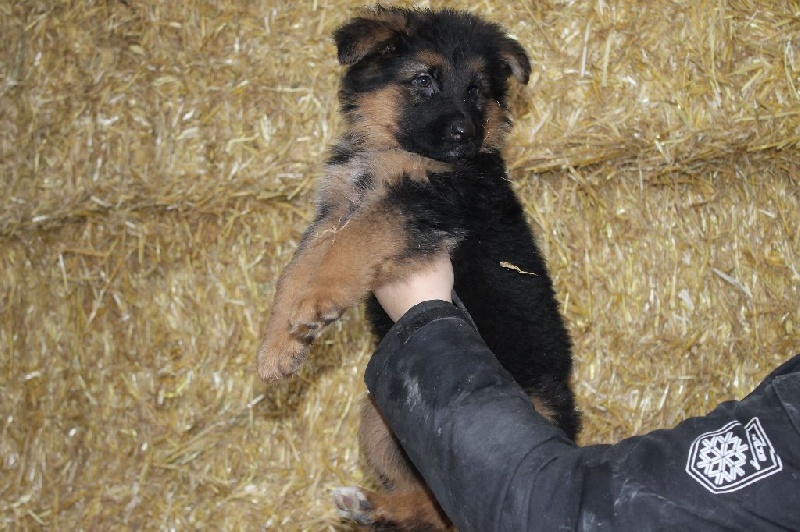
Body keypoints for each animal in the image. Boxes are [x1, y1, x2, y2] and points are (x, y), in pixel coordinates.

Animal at [260, 6, 580, 528]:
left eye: (476, 90)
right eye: (424, 80)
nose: (465, 134)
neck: (392, 151)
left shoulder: (413, 206)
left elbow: (352, 247)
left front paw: (318, 301)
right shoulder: (337, 210)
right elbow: (296, 269)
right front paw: (277, 349)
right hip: (380, 419)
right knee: (426, 504)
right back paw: (369, 506)